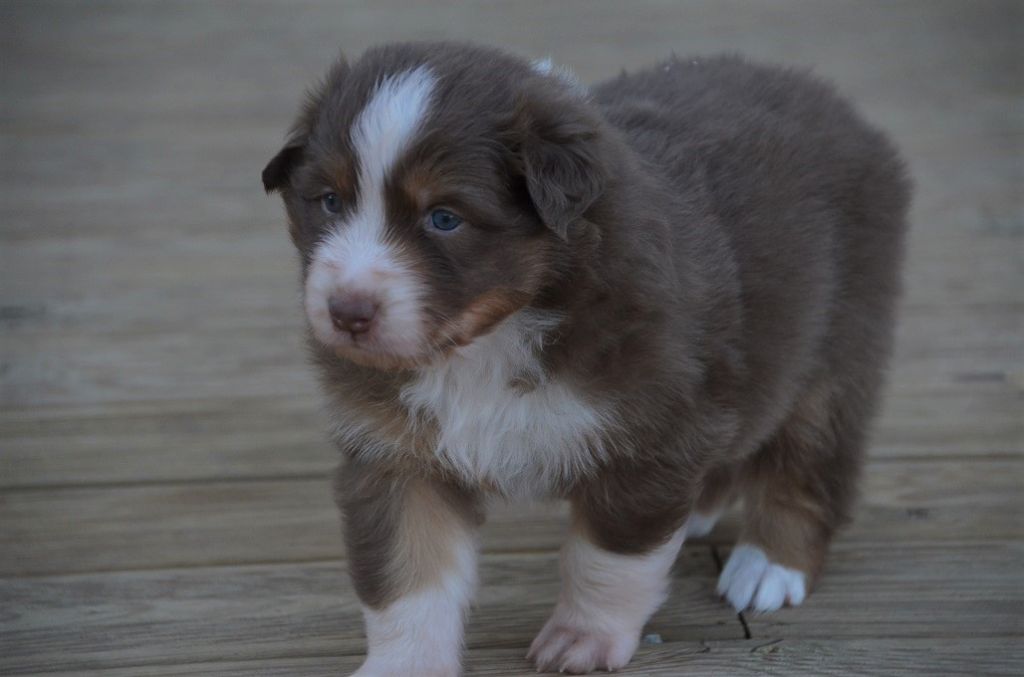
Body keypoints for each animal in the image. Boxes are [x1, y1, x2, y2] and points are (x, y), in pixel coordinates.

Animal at [262, 42, 909, 676]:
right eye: (329, 201)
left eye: (444, 218)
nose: (347, 311)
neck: (491, 338)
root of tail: (835, 104)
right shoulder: (397, 454)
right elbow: (407, 577)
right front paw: (404, 665)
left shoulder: (648, 436)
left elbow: (608, 561)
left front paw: (583, 639)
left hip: (837, 349)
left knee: (809, 464)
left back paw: (770, 564)